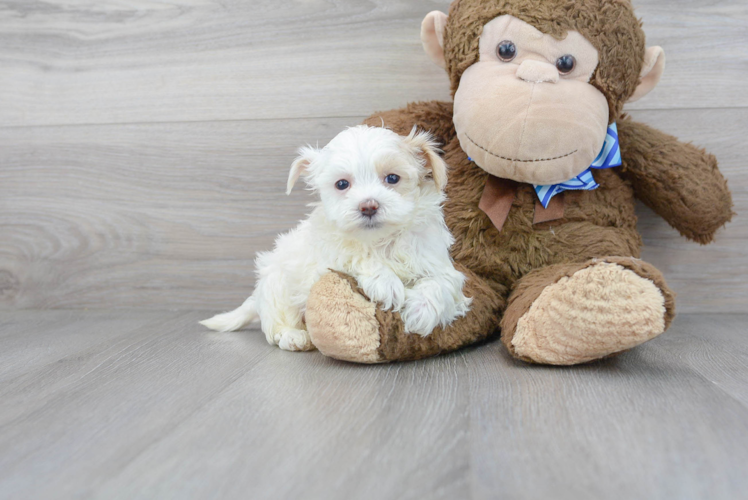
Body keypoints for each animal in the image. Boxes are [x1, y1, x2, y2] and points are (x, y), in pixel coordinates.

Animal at [199, 125, 468, 352]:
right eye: (342, 184)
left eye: (392, 178)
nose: (368, 206)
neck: (379, 241)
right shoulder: (325, 258)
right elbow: (356, 256)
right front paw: (387, 283)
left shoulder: (436, 261)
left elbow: (441, 283)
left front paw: (422, 312)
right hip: (277, 285)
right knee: (276, 327)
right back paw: (294, 337)